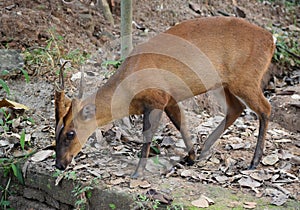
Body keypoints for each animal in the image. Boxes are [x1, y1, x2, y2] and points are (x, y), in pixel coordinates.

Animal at [55, 16, 276, 177]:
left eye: (70, 133)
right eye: (56, 132)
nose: (59, 164)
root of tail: (270, 39)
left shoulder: (157, 98)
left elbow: (148, 135)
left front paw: (138, 173)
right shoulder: (170, 98)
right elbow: (181, 124)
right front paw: (191, 156)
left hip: (245, 78)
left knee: (265, 108)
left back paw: (254, 162)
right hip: (225, 83)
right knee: (236, 108)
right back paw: (205, 149)